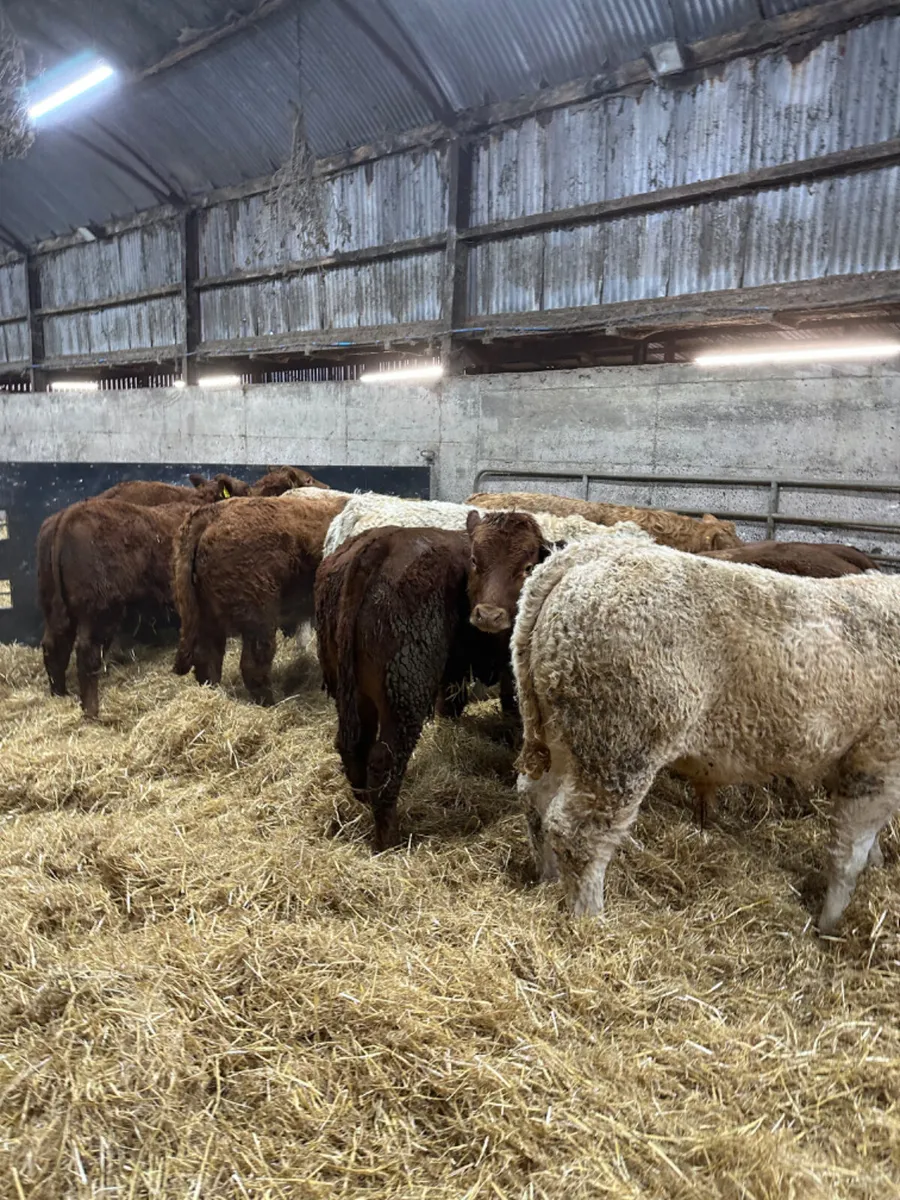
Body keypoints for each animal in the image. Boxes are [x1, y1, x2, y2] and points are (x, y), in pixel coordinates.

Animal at [41, 500, 197, 718]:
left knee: (54, 647)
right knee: (87, 654)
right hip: (100, 614)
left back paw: (60, 694)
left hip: (56, 610)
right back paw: (92, 710)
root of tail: (68, 515)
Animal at [172, 492, 349, 704]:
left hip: (208, 616)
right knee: (253, 664)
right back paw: (271, 703)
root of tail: (214, 512)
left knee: (208, 660)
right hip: (258, 615)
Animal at [315, 525, 511, 851]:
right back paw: (390, 840)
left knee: (353, 747)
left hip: (353, 694)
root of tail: (381, 544)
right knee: (385, 761)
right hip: (403, 698)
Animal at [512, 534, 900, 934]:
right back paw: (590, 919)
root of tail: (591, 553)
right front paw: (831, 923)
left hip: (561, 734)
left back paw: (548, 878)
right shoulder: (878, 759)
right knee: (579, 832)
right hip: (618, 746)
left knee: (537, 797)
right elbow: (848, 854)